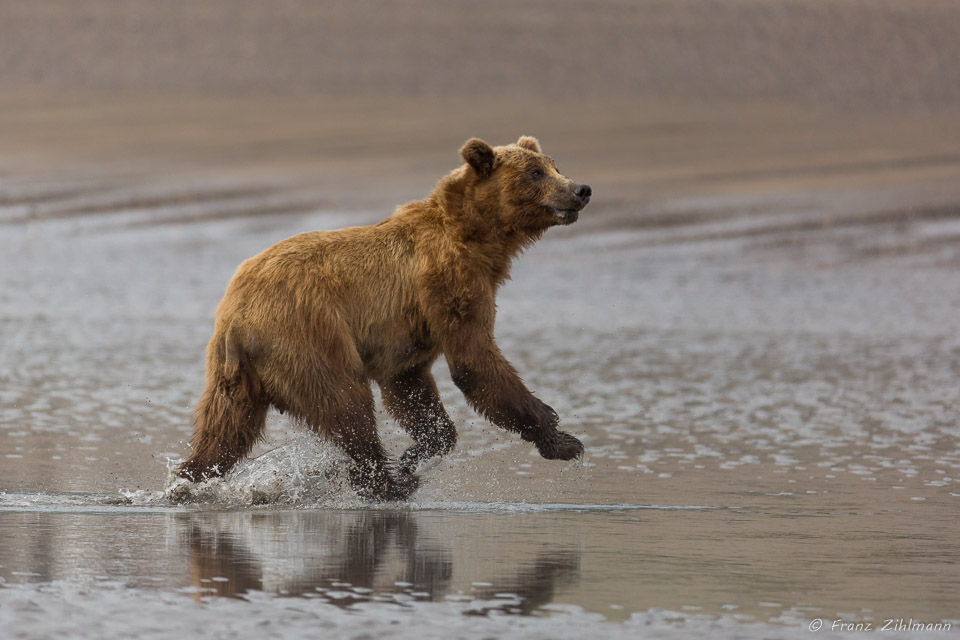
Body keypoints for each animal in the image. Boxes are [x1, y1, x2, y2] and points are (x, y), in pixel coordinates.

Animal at [176, 136, 588, 500]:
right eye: (536, 172)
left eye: (554, 164)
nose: (581, 189)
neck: (479, 238)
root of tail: (236, 318)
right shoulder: (448, 283)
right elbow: (475, 360)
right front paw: (560, 436)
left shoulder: (409, 336)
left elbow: (411, 389)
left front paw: (418, 452)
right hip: (307, 336)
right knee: (347, 405)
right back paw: (387, 484)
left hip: (233, 375)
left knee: (224, 432)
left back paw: (188, 482)